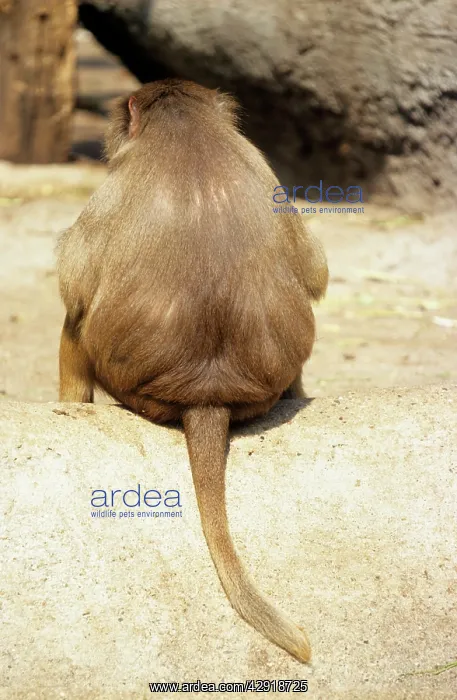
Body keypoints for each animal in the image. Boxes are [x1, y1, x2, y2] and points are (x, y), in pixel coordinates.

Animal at [56, 79, 328, 663]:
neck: (185, 127)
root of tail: (208, 392)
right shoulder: (262, 164)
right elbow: (314, 272)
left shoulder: (114, 186)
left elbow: (75, 288)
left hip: (126, 382)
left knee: (78, 317)